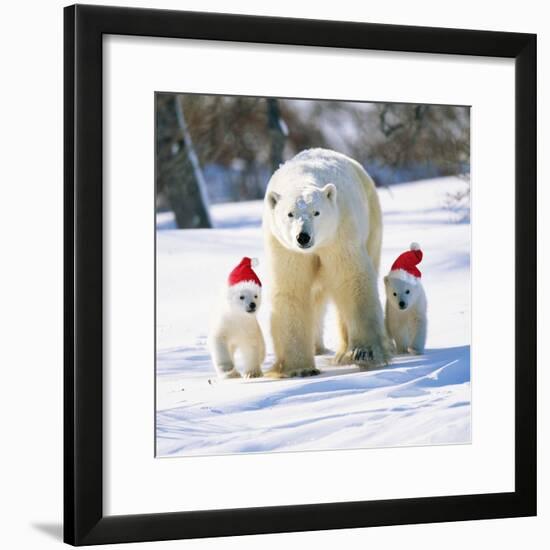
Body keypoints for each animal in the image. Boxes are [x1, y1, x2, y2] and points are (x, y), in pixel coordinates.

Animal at [264, 149, 390, 378]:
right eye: (290, 214)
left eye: (317, 212)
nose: (303, 237)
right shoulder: (284, 247)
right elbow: (291, 290)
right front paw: (300, 368)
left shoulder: (339, 233)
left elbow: (351, 280)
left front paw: (365, 352)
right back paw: (318, 348)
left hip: (372, 222)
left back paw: (343, 353)